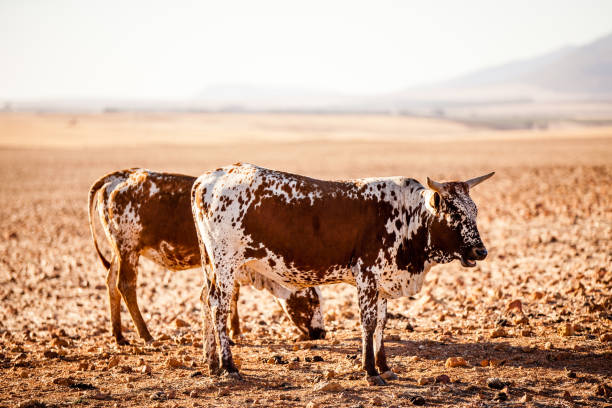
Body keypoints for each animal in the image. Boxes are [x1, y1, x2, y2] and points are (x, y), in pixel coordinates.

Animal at [87, 168, 326, 344]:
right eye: (313, 300)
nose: (321, 333)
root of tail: (122, 175)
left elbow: (233, 296)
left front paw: (235, 331)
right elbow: (229, 297)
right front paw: (231, 333)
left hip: (119, 251)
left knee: (111, 283)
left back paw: (119, 335)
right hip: (128, 249)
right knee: (125, 285)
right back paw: (146, 335)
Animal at [191, 162, 492, 382]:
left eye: (474, 211)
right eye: (454, 213)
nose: (480, 251)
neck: (407, 217)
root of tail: (208, 178)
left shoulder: (383, 283)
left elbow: (382, 323)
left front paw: (385, 367)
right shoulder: (367, 277)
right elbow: (368, 323)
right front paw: (370, 371)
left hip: (211, 264)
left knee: (206, 300)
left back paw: (211, 363)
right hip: (225, 263)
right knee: (219, 307)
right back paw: (228, 366)